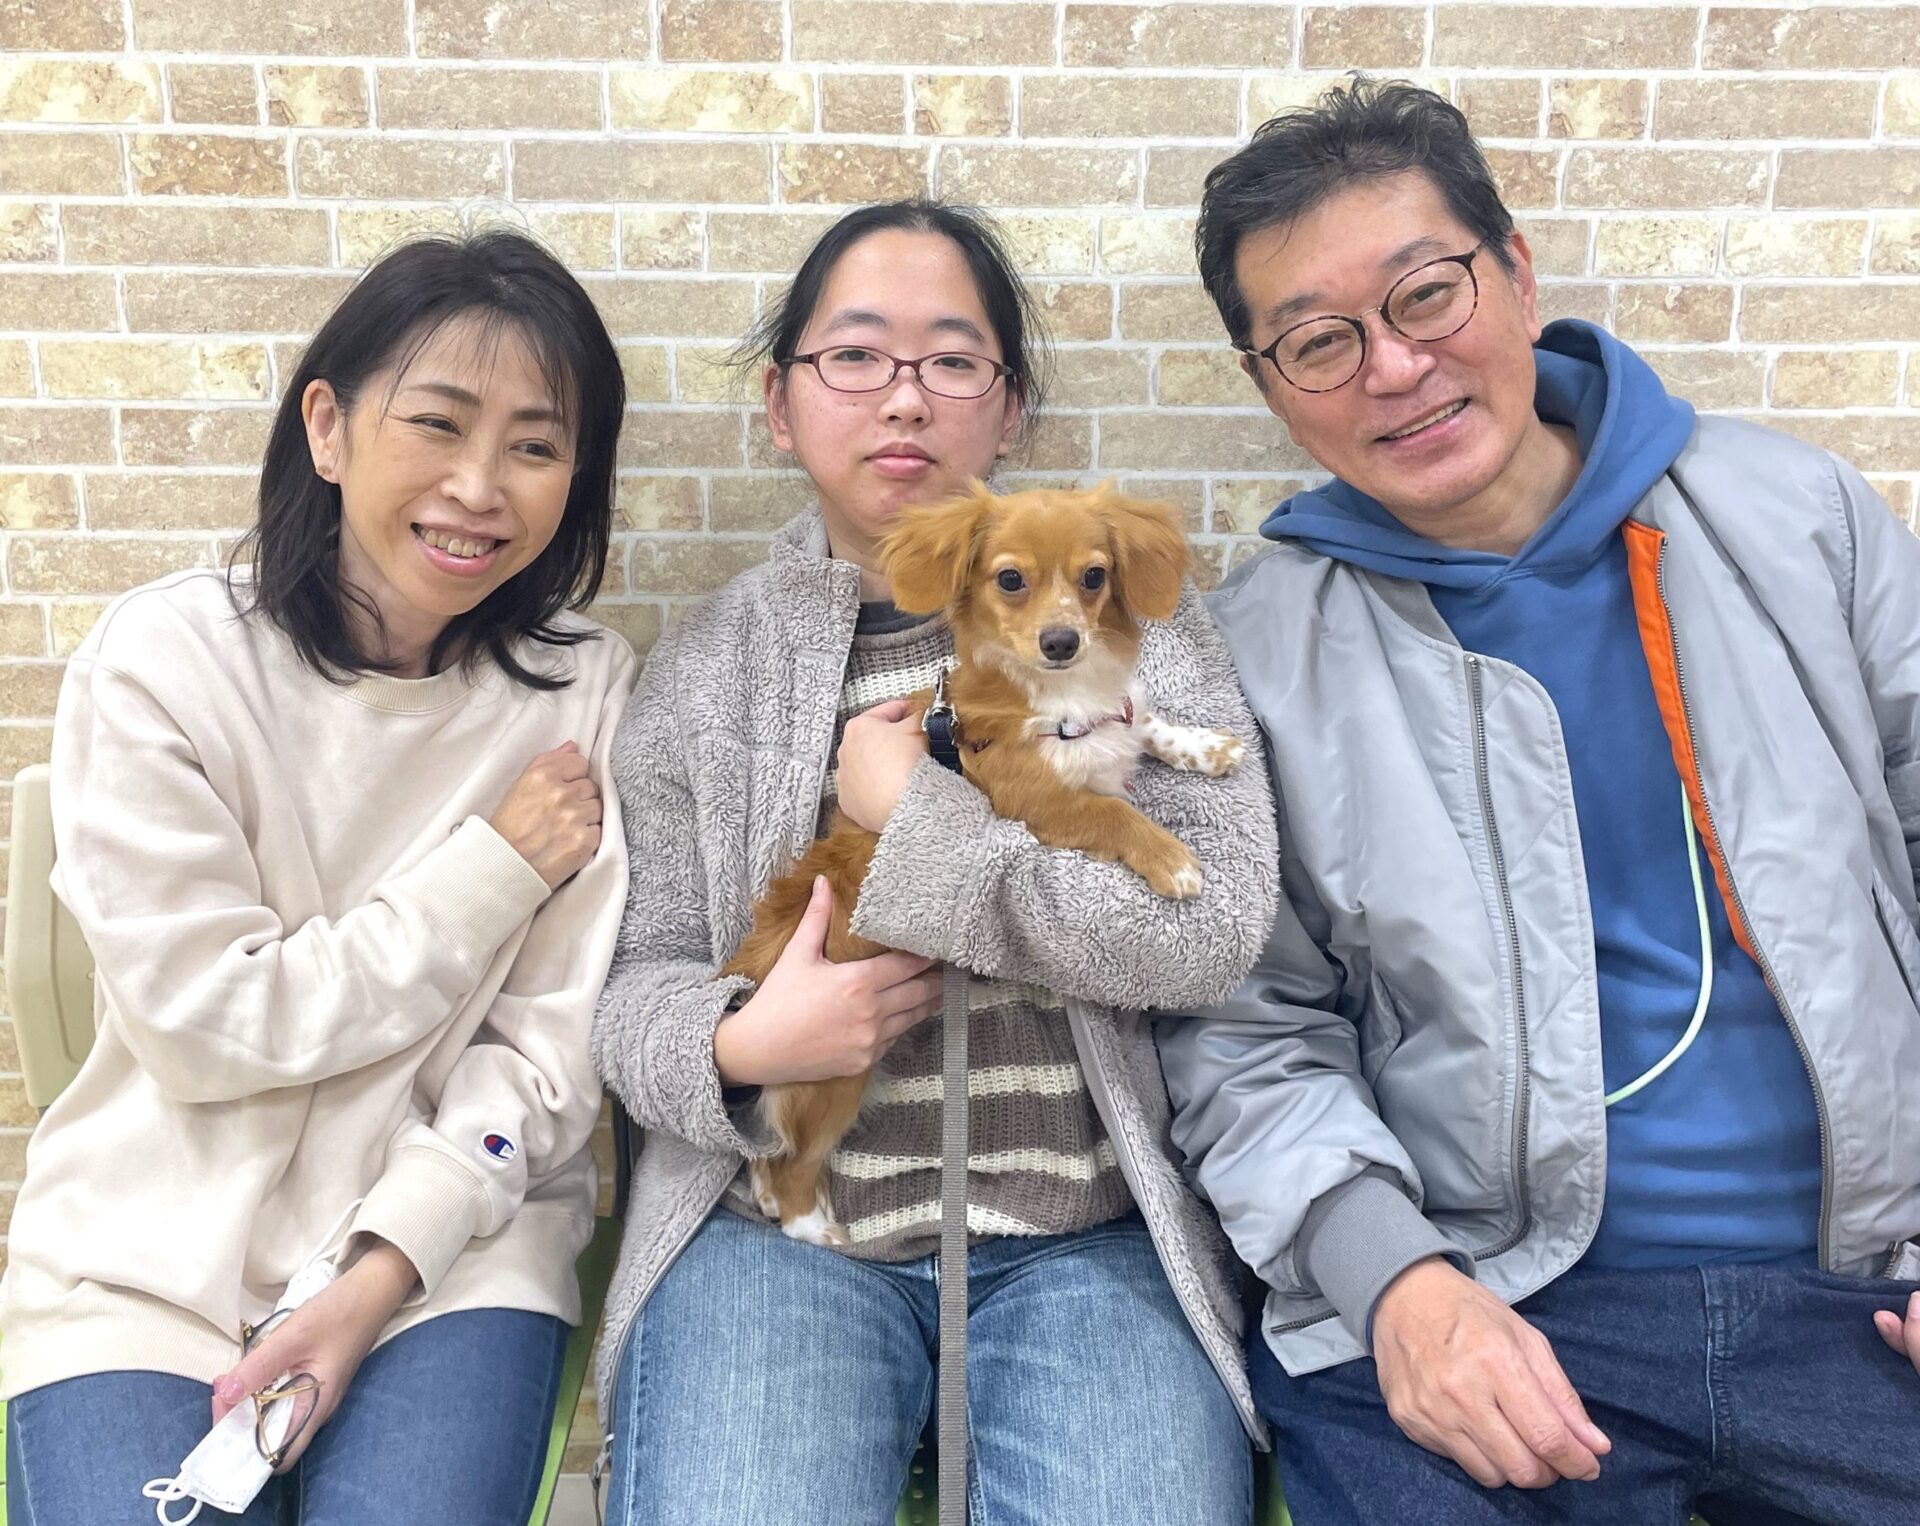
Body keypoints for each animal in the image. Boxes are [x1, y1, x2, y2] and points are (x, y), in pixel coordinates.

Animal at [723, 481, 1247, 1245]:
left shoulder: (1109, 721)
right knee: (787, 1166)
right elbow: (1112, 812)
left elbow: (1141, 718)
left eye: (1094, 576)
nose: (1061, 641)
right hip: (829, 1070)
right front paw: (1171, 858)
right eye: (1010, 579)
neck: (1057, 697)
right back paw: (818, 1228)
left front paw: (1205, 745)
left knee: (767, 1158)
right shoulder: (1033, 798)